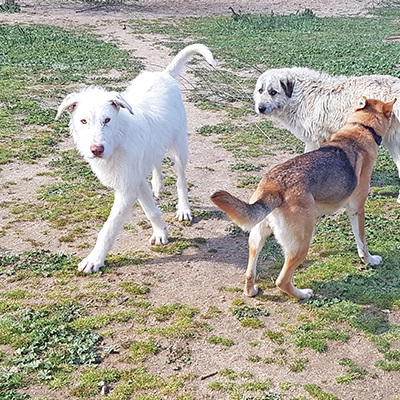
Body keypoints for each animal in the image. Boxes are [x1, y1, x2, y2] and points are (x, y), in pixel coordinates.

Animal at [55, 44, 216, 276]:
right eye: (83, 121)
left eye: (107, 120)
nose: (96, 150)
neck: (118, 139)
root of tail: (164, 74)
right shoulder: (135, 181)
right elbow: (151, 210)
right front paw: (161, 232)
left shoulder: (127, 188)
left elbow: (109, 228)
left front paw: (95, 259)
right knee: (156, 161)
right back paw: (157, 185)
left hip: (179, 149)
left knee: (181, 180)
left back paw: (184, 208)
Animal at [211, 97, 396, 298]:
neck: (361, 127)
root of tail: (273, 187)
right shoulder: (357, 210)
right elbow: (362, 242)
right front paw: (370, 260)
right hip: (301, 245)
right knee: (282, 281)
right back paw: (303, 294)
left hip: (257, 237)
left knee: (250, 269)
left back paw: (251, 289)